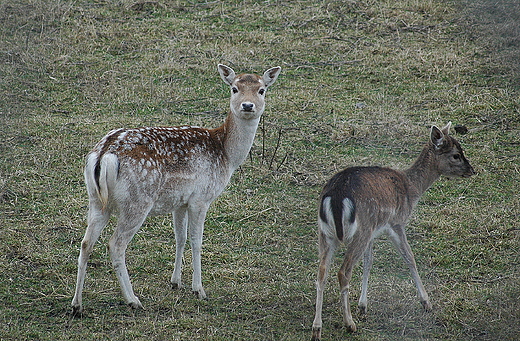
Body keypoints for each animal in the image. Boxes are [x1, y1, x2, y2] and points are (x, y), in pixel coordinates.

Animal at [71, 63, 282, 314]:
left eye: (261, 90)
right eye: (234, 88)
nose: (248, 105)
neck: (226, 154)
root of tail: (104, 155)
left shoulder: (179, 201)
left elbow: (180, 237)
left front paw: (176, 282)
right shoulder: (201, 198)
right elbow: (196, 241)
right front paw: (199, 290)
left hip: (96, 200)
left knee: (85, 243)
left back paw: (77, 305)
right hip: (137, 201)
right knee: (116, 244)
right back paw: (133, 300)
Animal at [310, 123, 474, 340]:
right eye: (456, 154)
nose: (472, 170)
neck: (412, 189)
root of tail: (336, 196)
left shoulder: (373, 231)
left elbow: (369, 262)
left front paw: (363, 306)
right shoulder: (396, 223)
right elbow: (409, 258)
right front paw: (426, 302)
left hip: (328, 233)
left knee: (321, 272)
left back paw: (317, 329)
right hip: (359, 231)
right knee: (343, 272)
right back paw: (349, 324)